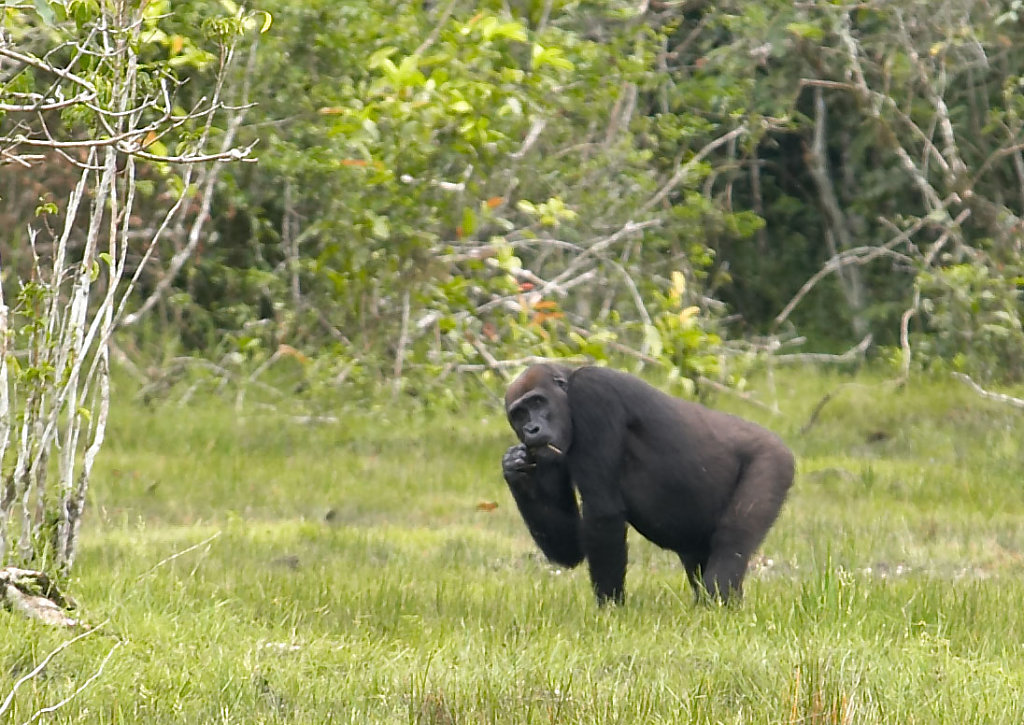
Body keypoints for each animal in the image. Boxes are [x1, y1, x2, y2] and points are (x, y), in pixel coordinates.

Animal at [499, 362, 794, 606]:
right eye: (520, 414)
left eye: (538, 402)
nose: (531, 429)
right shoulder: (549, 455)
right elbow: (568, 548)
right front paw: (515, 468)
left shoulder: (593, 393)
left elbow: (603, 512)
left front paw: (610, 608)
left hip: (773, 459)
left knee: (733, 538)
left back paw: (719, 600)